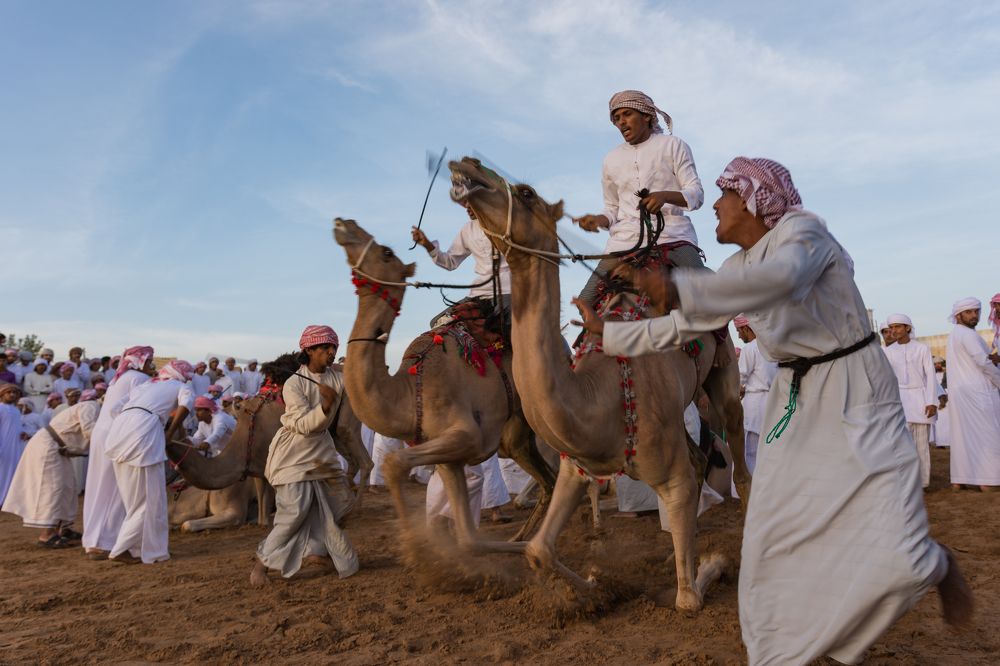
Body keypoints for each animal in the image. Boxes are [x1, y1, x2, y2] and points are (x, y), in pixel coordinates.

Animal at [332, 218, 557, 547]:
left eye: (386, 252)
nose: (344, 223)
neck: (409, 388)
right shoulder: (446, 452)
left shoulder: (465, 433)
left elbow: (394, 463)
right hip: (516, 435)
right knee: (547, 479)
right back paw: (521, 536)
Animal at [448, 157, 748, 611]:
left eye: (526, 193)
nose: (468, 163)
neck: (598, 399)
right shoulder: (578, 463)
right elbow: (538, 551)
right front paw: (595, 584)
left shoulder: (669, 474)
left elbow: (687, 601)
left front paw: (711, 563)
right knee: (699, 459)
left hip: (724, 370)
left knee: (736, 447)